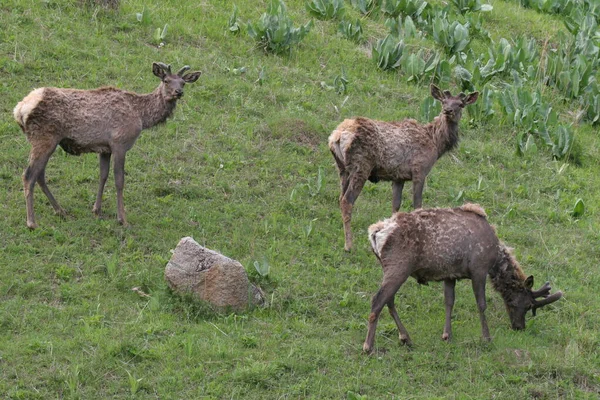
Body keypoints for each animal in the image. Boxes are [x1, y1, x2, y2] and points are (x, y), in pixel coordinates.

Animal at [13, 61, 202, 228]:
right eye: (166, 80)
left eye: (183, 82)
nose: (178, 92)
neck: (141, 116)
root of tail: (19, 109)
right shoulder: (120, 143)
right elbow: (119, 180)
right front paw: (122, 219)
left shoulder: (104, 148)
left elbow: (102, 175)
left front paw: (97, 210)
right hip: (45, 138)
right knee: (29, 175)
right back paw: (32, 222)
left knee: (39, 174)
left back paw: (60, 210)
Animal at [328, 85, 478, 250]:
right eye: (444, 101)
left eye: (460, 104)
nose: (448, 110)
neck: (435, 143)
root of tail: (337, 135)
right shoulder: (420, 170)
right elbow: (417, 206)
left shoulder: (398, 177)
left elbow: (395, 207)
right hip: (361, 165)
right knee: (347, 200)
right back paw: (349, 246)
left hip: (342, 168)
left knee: (340, 197)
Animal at [364, 203, 564, 354]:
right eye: (528, 305)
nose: (519, 327)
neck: (495, 260)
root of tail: (375, 232)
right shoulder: (478, 269)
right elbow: (481, 304)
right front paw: (486, 337)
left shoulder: (449, 274)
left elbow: (449, 302)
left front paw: (447, 335)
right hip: (399, 266)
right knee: (378, 300)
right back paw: (368, 346)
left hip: (389, 267)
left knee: (389, 300)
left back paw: (405, 338)